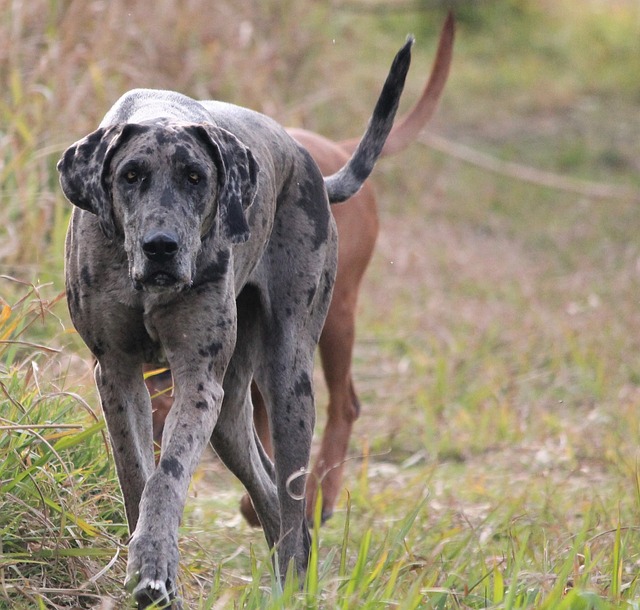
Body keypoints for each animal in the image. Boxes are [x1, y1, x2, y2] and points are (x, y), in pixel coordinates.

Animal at [57, 39, 412, 608]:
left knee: (290, 502)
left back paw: (293, 584)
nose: (161, 246)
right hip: (230, 418)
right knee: (267, 492)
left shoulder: (199, 382)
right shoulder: (116, 374)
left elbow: (167, 477)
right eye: (130, 175)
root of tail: (308, 161)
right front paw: (146, 563)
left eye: (195, 177)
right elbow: (136, 475)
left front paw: (155, 565)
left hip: (290, 382)